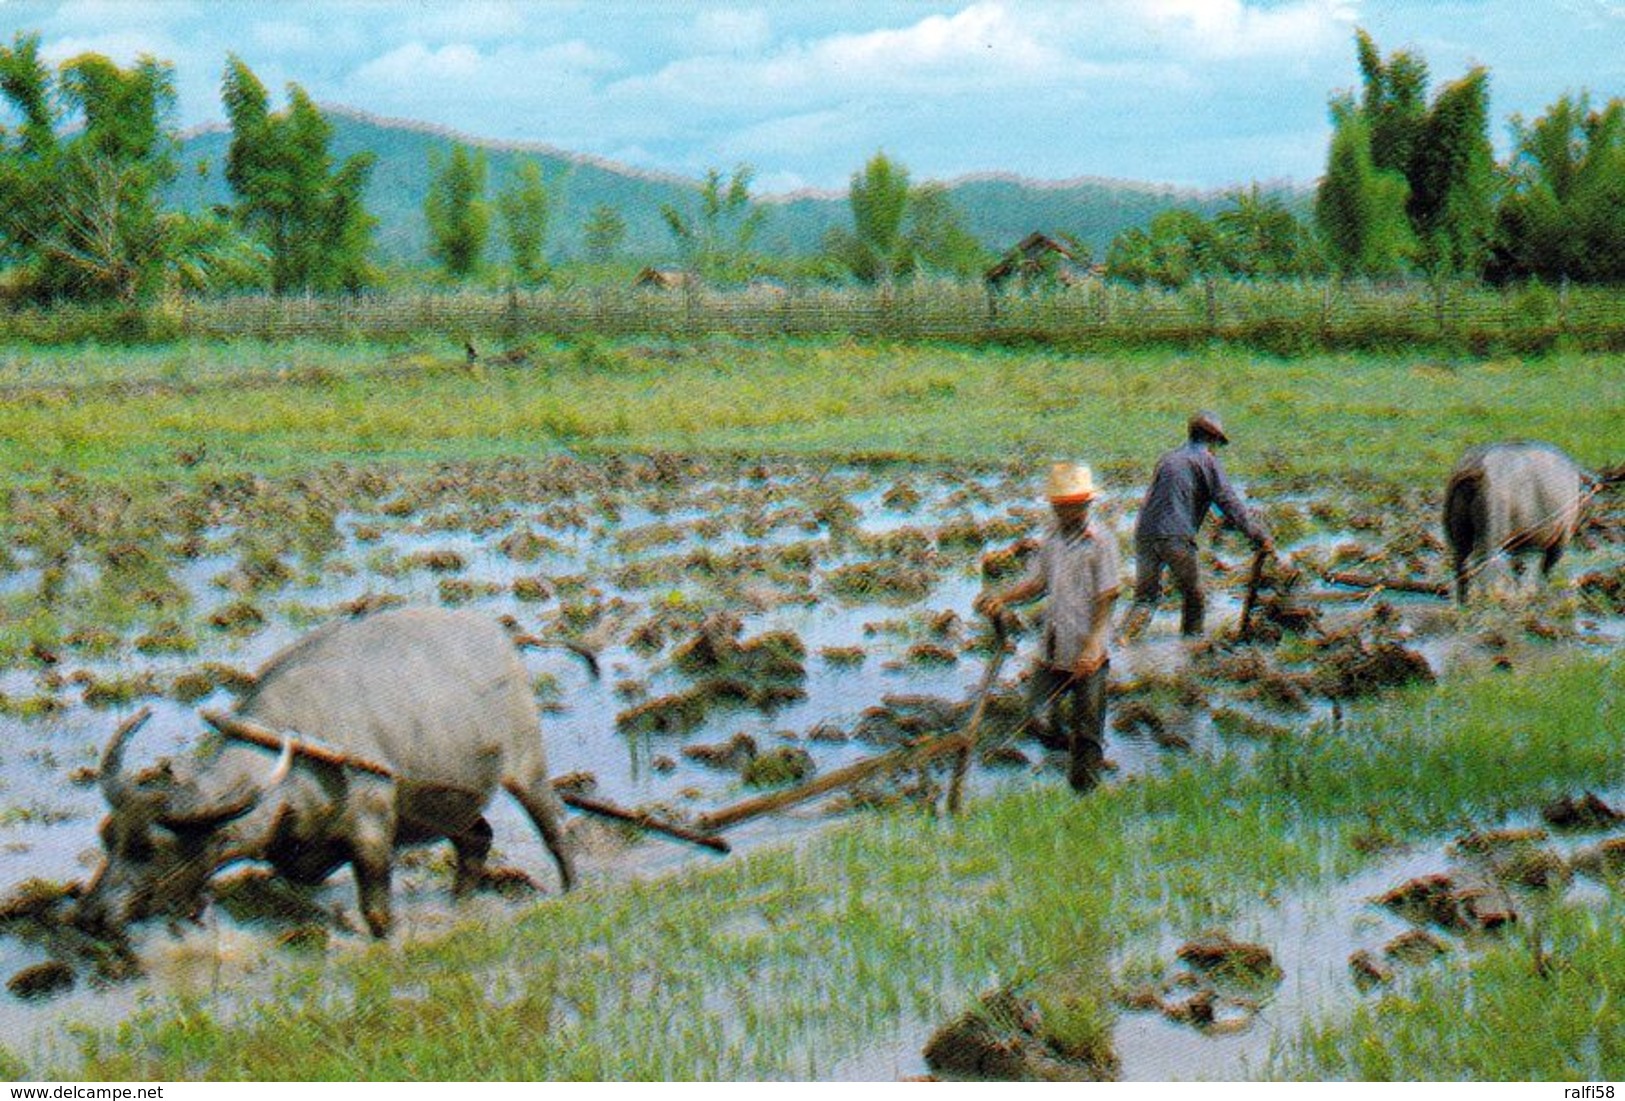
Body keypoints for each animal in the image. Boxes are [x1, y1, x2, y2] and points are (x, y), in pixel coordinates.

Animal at [80, 607, 585, 941]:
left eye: (149, 847)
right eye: (107, 836)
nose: (91, 916)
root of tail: (503, 638)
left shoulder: (372, 838)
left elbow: (378, 913)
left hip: (526, 765)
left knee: (555, 826)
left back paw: (572, 890)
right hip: (446, 802)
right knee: (477, 839)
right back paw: (459, 902)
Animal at [1449, 444, 1586, 607]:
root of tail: (1477, 465)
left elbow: (1520, 568)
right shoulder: (1560, 538)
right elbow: (1545, 570)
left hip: (1459, 534)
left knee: (1461, 565)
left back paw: (1463, 604)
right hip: (1491, 534)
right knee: (1482, 565)